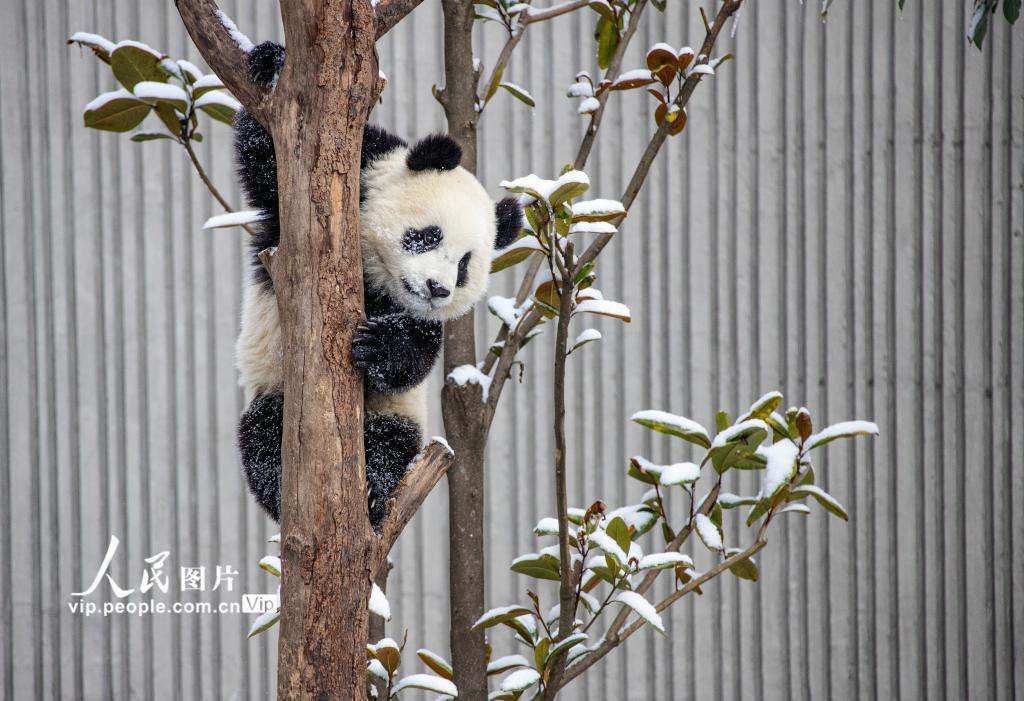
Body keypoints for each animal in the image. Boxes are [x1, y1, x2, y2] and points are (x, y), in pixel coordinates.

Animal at [232, 42, 520, 523]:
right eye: (428, 236)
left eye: (464, 267)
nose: (437, 289)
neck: (375, 276)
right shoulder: (358, 168)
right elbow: (268, 160)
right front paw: (271, 63)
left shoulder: (414, 320)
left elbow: (416, 353)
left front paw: (376, 346)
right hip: (274, 385)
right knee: (264, 433)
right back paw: (280, 489)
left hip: (396, 416)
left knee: (391, 443)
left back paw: (374, 489)